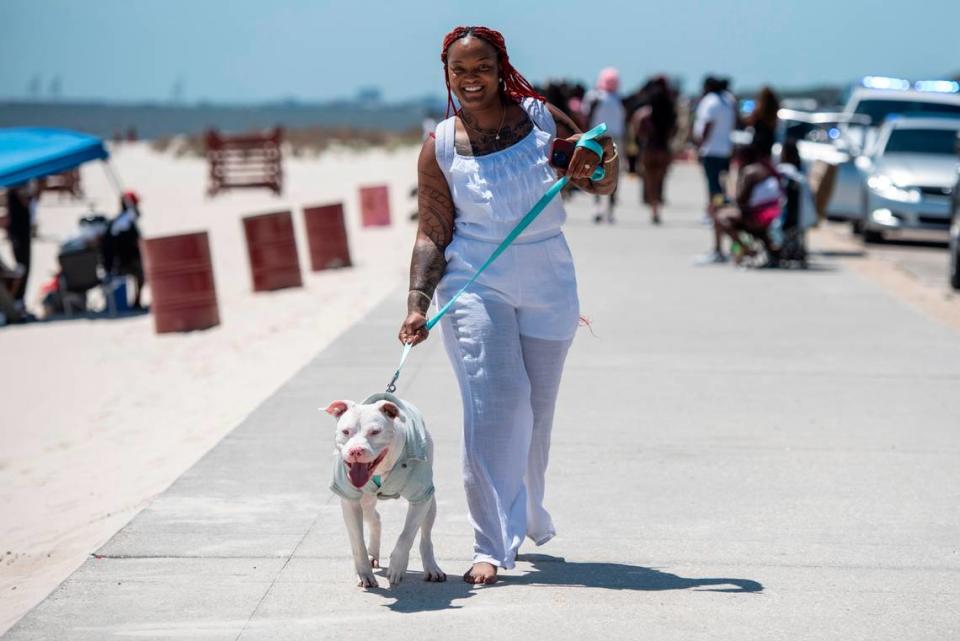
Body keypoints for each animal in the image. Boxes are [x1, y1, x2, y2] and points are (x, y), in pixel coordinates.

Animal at [322, 390, 442, 584]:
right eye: (346, 431)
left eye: (375, 432)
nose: (356, 450)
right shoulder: (349, 502)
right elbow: (357, 542)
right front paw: (363, 573)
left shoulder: (420, 499)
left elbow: (406, 535)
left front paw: (397, 566)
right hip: (365, 501)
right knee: (374, 517)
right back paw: (372, 554)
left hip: (430, 502)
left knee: (425, 535)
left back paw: (431, 567)